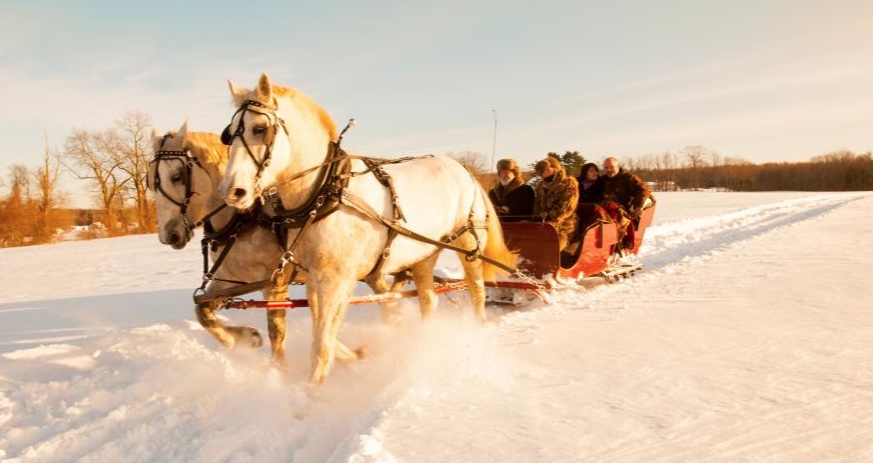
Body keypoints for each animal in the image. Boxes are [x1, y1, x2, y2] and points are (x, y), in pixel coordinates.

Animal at [150, 124, 398, 370]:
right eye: (150, 181)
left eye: (177, 176)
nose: (169, 235)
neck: (244, 218)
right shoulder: (229, 279)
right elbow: (202, 310)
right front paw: (243, 338)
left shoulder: (275, 283)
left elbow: (277, 332)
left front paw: (281, 372)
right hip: (368, 270)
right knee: (387, 296)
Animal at [220, 73, 516, 384]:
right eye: (229, 134)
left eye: (260, 128)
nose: (232, 192)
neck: (324, 191)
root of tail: (464, 170)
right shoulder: (315, 278)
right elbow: (323, 332)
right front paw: (351, 356)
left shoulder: (336, 280)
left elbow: (322, 344)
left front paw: (313, 391)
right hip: (425, 253)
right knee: (428, 300)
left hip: (468, 244)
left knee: (477, 291)